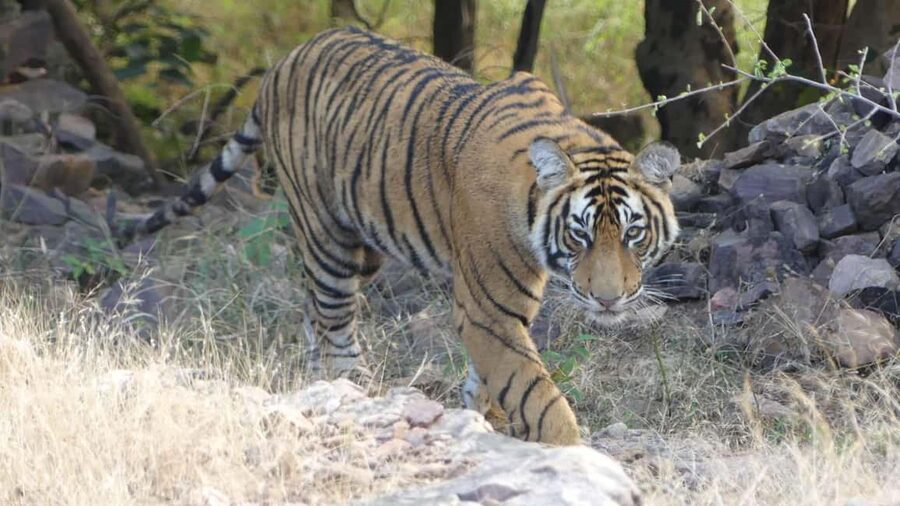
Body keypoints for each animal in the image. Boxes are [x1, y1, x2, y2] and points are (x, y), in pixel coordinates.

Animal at [129, 26, 681, 446]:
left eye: (633, 233)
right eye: (579, 235)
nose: (608, 300)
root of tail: (284, 59)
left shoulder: (499, 312)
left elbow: (492, 377)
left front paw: (484, 418)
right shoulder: (489, 309)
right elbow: (535, 392)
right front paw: (567, 449)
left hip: (367, 243)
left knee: (313, 313)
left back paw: (318, 386)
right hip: (327, 235)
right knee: (335, 327)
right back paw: (355, 395)